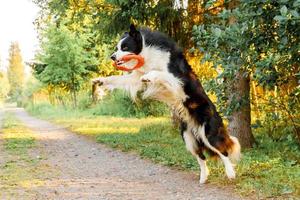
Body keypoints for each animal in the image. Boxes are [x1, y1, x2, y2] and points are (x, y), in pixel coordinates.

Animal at [92, 24, 240, 184]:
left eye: (125, 47)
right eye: (117, 47)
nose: (112, 57)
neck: (147, 51)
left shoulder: (176, 79)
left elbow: (158, 73)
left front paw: (148, 76)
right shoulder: (135, 79)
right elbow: (117, 79)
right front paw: (100, 80)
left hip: (209, 133)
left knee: (223, 152)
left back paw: (230, 173)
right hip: (188, 138)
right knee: (202, 158)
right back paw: (203, 178)